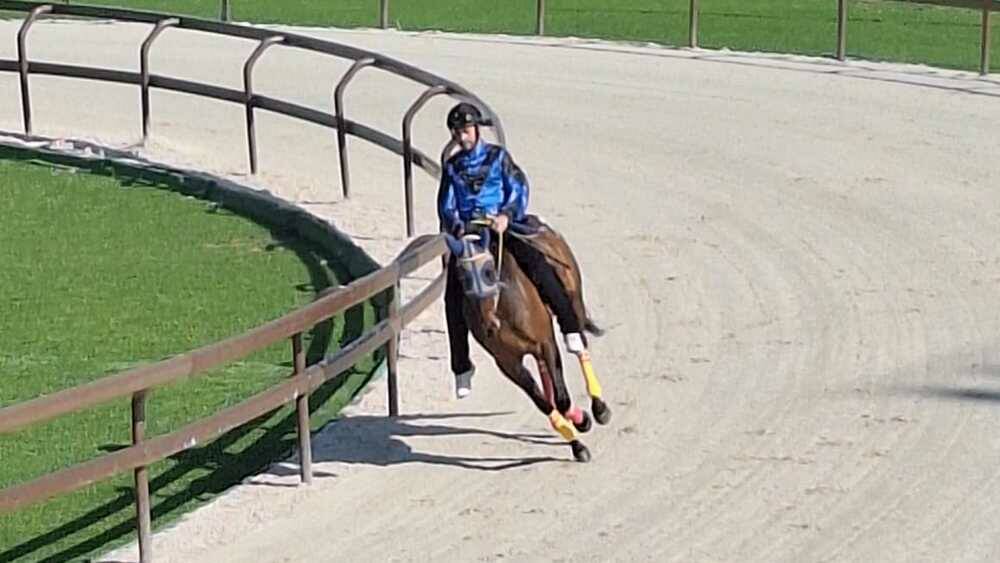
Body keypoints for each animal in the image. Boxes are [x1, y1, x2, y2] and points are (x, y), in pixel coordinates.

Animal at [444, 216, 612, 462]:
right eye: (462, 277)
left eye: (489, 271)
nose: (488, 325)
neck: (503, 311)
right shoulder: (508, 363)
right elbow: (544, 404)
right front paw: (576, 443)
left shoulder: (546, 343)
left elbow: (562, 400)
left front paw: (582, 421)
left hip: (573, 303)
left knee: (579, 344)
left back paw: (599, 408)